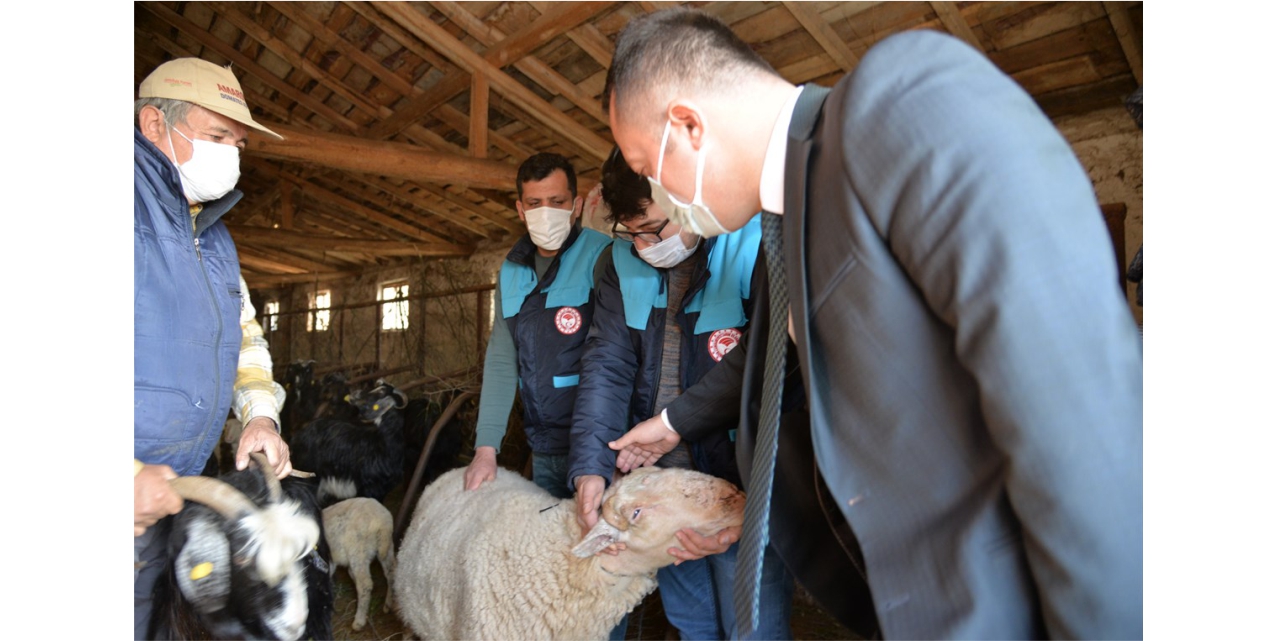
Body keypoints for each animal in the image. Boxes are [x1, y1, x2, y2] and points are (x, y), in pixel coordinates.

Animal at [320, 494, 394, 630]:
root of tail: (383, 522)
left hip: (358, 549)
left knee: (365, 584)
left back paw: (359, 621)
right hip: (386, 547)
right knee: (391, 573)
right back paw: (388, 604)